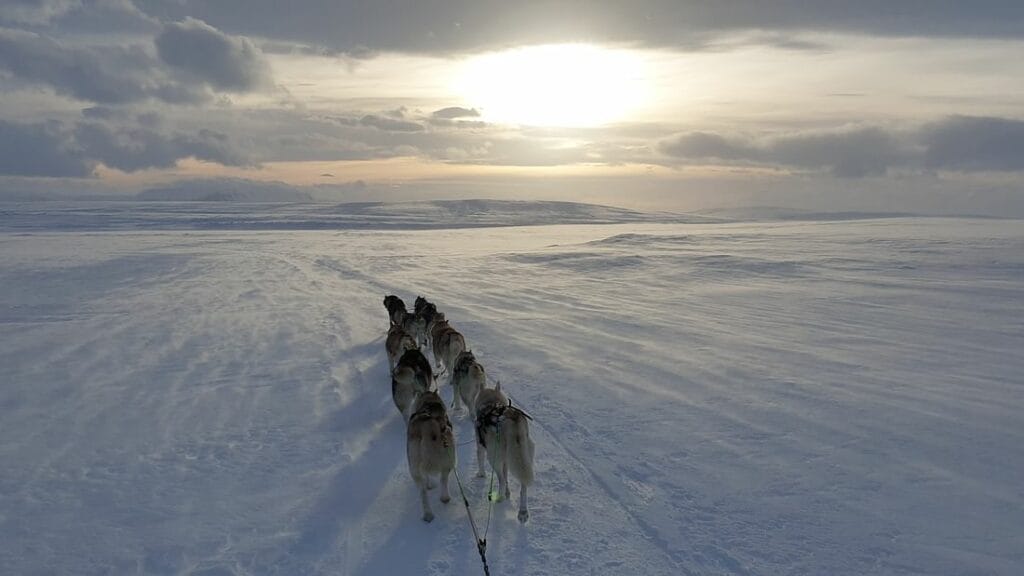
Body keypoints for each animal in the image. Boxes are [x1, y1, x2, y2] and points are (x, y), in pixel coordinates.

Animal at [405, 389, 454, 520]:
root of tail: (424, 429)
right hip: (449, 461)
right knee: (443, 480)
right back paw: (445, 498)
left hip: (414, 467)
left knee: (423, 492)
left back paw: (428, 514)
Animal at [473, 381, 536, 520]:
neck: (491, 403)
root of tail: (513, 418)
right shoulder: (506, 459)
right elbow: (506, 474)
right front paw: (508, 492)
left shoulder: (481, 447)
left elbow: (481, 462)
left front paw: (481, 474)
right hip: (525, 457)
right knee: (523, 487)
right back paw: (523, 511)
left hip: (493, 457)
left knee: (500, 480)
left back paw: (499, 497)